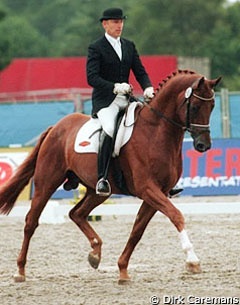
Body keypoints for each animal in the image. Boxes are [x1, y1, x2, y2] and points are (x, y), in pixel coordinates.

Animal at [0, 69, 220, 282]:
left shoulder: (159, 192)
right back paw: (20, 271)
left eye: (212, 106)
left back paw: (95, 253)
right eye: (195, 107)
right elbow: (176, 216)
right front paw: (192, 260)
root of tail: (55, 128)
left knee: (76, 213)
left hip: (97, 190)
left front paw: (122, 270)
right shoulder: (148, 188)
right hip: (46, 182)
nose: (204, 145)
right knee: (31, 222)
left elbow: (137, 230)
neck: (155, 132)